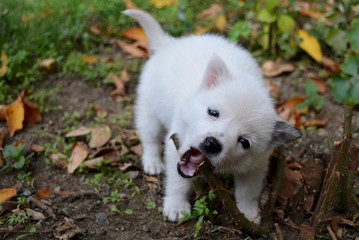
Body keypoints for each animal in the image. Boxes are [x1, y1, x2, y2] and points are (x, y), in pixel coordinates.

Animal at [124, 8, 304, 224]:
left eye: (244, 142)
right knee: (150, 136)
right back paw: (152, 162)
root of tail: (169, 44)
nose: (211, 143)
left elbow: (248, 191)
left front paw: (249, 212)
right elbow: (178, 182)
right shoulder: (177, 144)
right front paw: (176, 205)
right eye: (213, 112)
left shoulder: (255, 166)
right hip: (149, 108)